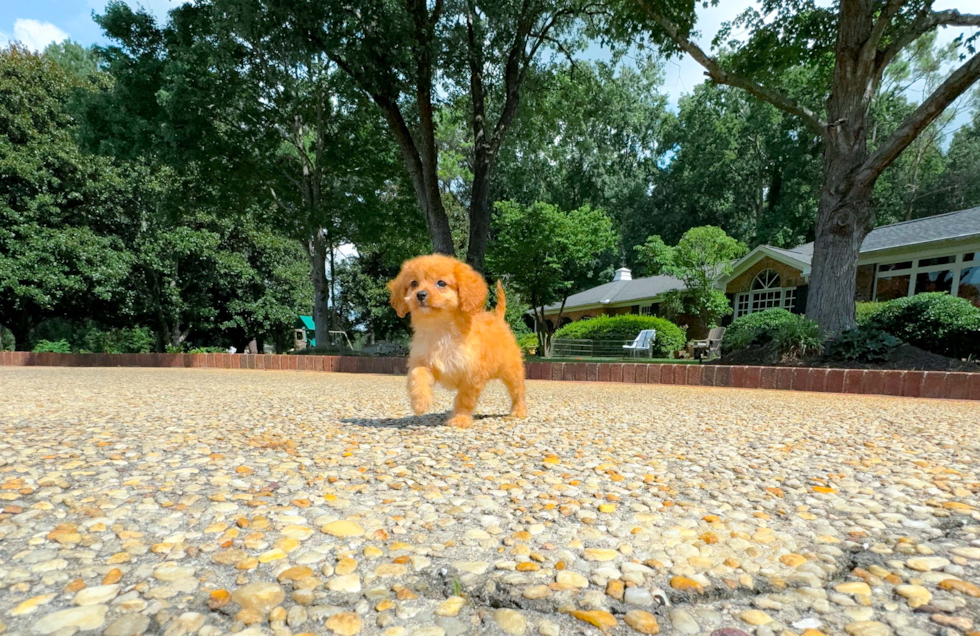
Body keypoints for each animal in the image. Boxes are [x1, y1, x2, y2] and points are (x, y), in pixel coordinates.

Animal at [388, 253, 528, 428]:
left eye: (441, 283)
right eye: (414, 283)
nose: (420, 294)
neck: (440, 330)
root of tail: (498, 318)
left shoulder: (472, 375)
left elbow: (465, 399)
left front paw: (460, 418)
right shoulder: (422, 361)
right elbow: (417, 376)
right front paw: (420, 402)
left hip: (512, 371)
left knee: (518, 391)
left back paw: (518, 411)